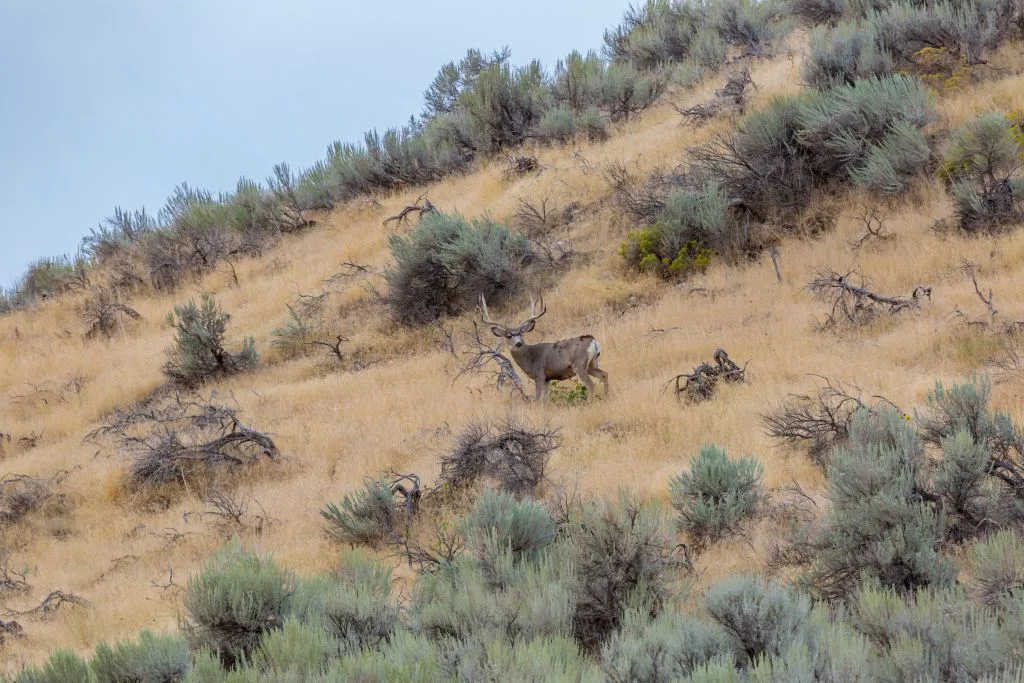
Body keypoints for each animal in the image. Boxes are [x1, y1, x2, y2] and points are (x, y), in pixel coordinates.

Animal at [479, 292, 610, 402]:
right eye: (509, 336)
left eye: (521, 333)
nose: (518, 343)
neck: (529, 358)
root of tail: (593, 341)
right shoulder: (548, 378)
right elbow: (544, 400)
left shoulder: (539, 375)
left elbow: (537, 399)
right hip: (592, 364)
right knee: (604, 374)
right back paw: (606, 397)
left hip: (579, 364)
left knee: (590, 384)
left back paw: (589, 403)